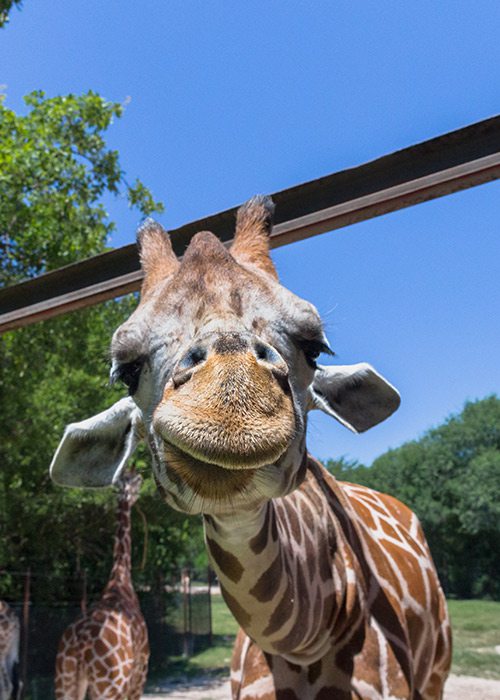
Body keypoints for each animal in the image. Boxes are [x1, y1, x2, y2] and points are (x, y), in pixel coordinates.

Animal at [54, 470, 149, 700]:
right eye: (136, 481)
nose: (136, 493)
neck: (120, 578)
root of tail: (80, 647)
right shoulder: (139, 674)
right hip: (108, 686)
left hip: (64, 681)